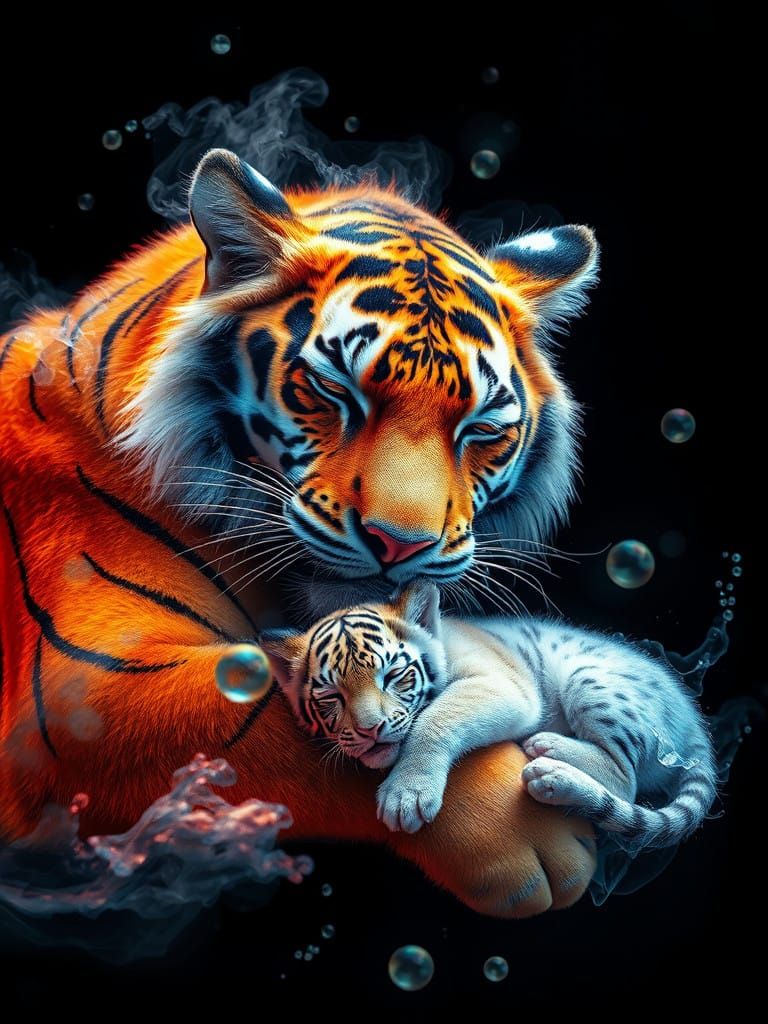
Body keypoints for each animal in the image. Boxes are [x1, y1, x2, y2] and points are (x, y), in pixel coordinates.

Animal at [0, 148, 599, 917]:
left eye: (482, 430)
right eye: (335, 393)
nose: (400, 544)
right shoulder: (83, 694)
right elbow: (275, 724)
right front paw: (523, 826)